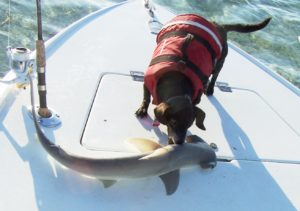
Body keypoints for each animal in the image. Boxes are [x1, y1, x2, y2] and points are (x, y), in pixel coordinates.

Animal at [135, 14, 270, 144]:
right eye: (173, 122)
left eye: (189, 124)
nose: (179, 142)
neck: (176, 81)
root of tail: (220, 26)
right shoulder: (147, 82)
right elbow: (146, 98)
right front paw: (142, 110)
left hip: (219, 62)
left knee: (214, 76)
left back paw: (209, 89)